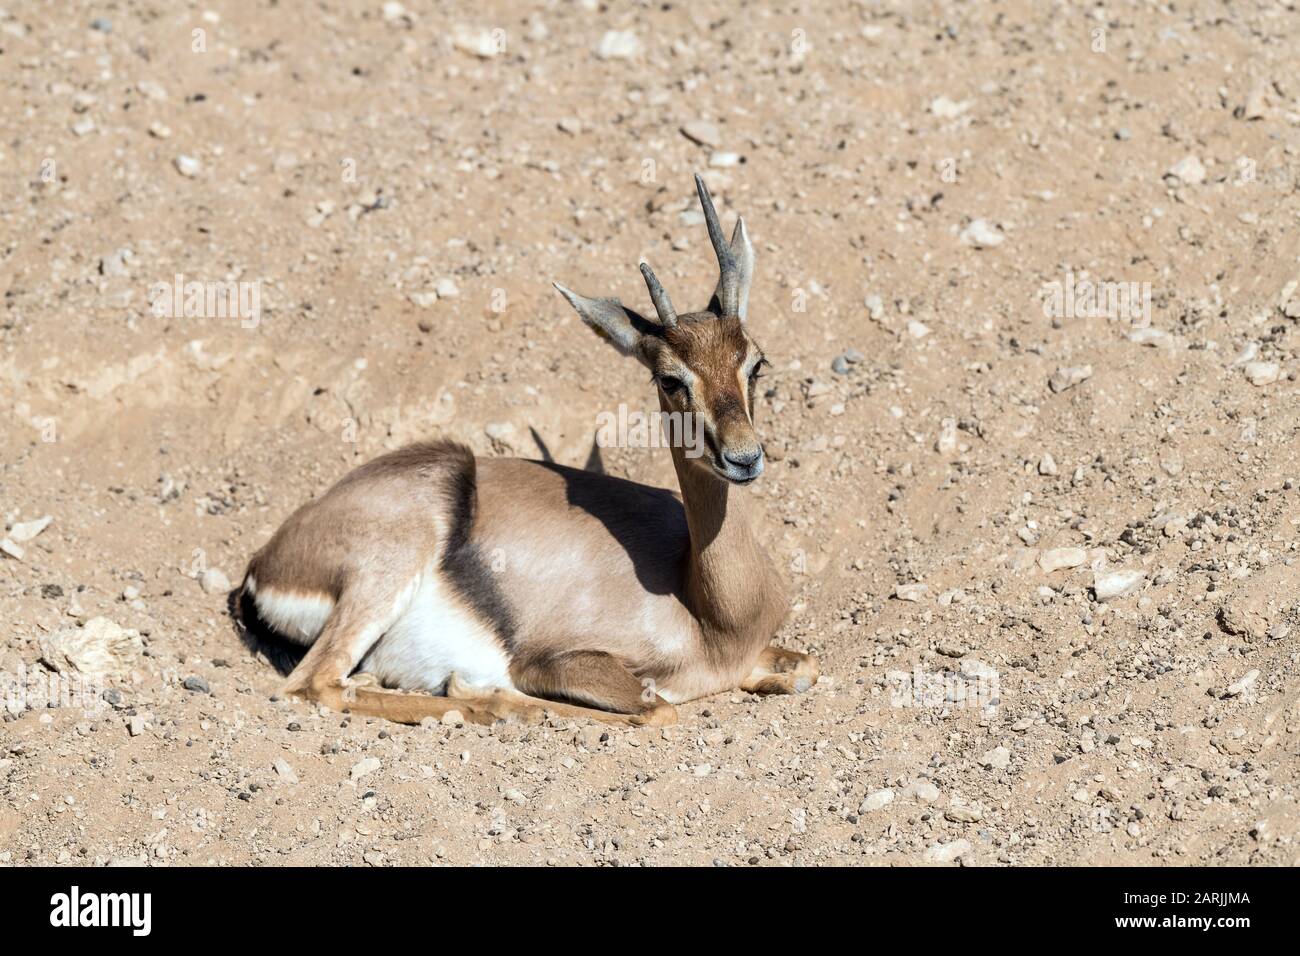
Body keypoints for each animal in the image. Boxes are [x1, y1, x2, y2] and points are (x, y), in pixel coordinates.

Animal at [237, 174, 819, 727]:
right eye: (670, 379)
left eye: (756, 364)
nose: (744, 458)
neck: (706, 609)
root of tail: (264, 562)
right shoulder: (555, 661)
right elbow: (657, 707)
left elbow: (805, 669)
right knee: (317, 684)